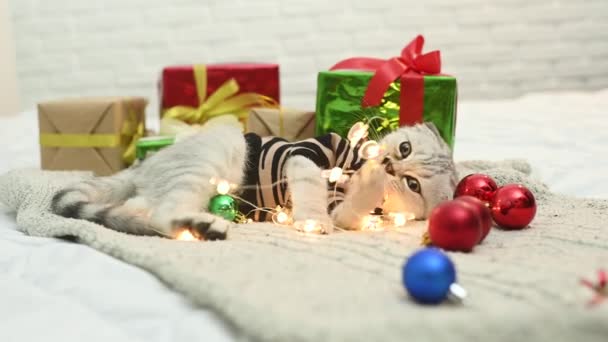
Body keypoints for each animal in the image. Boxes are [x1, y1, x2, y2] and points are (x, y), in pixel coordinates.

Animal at [51, 117, 456, 240]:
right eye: (404, 148)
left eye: (413, 185)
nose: (388, 164)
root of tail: (143, 166)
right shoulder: (307, 152)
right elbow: (312, 190)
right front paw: (314, 219)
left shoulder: (345, 209)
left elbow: (350, 211)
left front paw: (370, 184)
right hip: (212, 159)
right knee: (159, 214)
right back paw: (203, 224)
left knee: (144, 209)